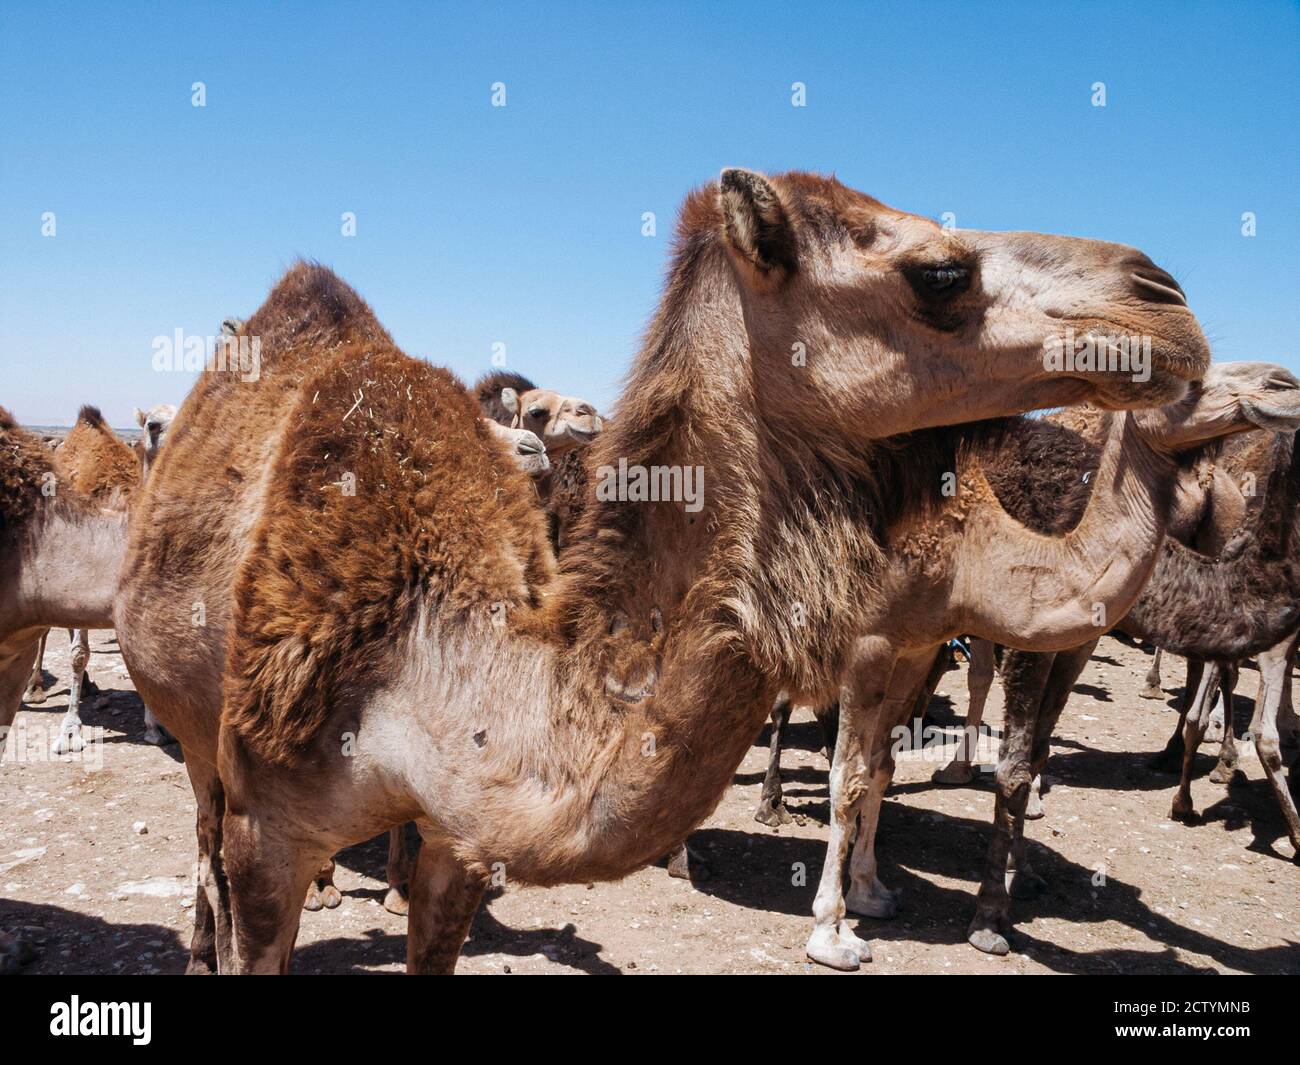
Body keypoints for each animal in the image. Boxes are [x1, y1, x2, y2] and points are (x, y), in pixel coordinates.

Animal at [113, 169, 1212, 974]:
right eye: (938, 274)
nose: (1165, 298)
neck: (425, 660)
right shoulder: (273, 827)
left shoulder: (463, 842)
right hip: (203, 738)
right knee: (202, 817)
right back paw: (199, 941)